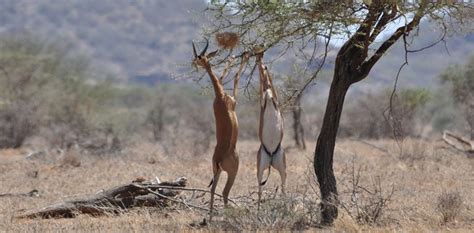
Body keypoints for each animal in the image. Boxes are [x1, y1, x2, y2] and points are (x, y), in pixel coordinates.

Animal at [193, 39, 252, 221]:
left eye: (200, 58)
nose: (195, 64)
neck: (220, 96)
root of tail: (219, 157)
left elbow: (221, 77)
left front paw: (232, 56)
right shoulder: (235, 101)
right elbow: (236, 78)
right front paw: (243, 55)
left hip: (216, 170)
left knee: (212, 189)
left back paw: (210, 216)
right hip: (232, 172)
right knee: (225, 192)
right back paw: (227, 217)